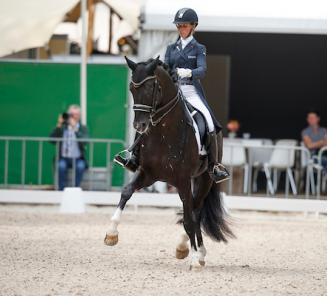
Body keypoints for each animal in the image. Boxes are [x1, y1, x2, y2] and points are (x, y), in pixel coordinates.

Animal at [104, 56, 234, 268]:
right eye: (132, 88)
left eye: (151, 87)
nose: (139, 126)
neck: (164, 132)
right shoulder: (148, 174)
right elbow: (126, 192)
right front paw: (111, 234)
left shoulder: (182, 180)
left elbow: (188, 218)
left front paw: (193, 259)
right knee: (194, 211)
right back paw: (196, 251)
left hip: (205, 178)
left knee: (195, 211)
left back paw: (193, 251)